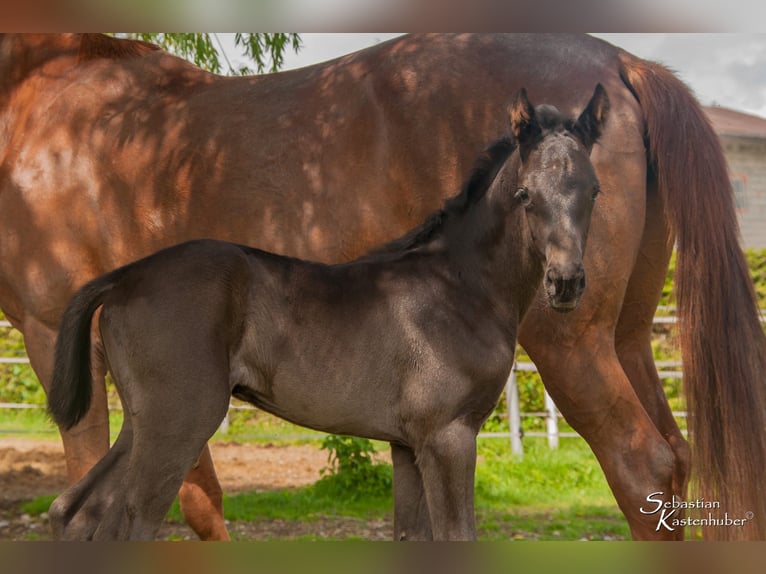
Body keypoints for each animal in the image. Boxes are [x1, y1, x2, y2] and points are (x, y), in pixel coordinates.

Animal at [0, 33, 764, 544]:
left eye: (593, 190)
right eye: (524, 195)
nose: (566, 282)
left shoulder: (420, 443)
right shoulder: (431, 439)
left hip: (583, 345)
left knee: (648, 470)